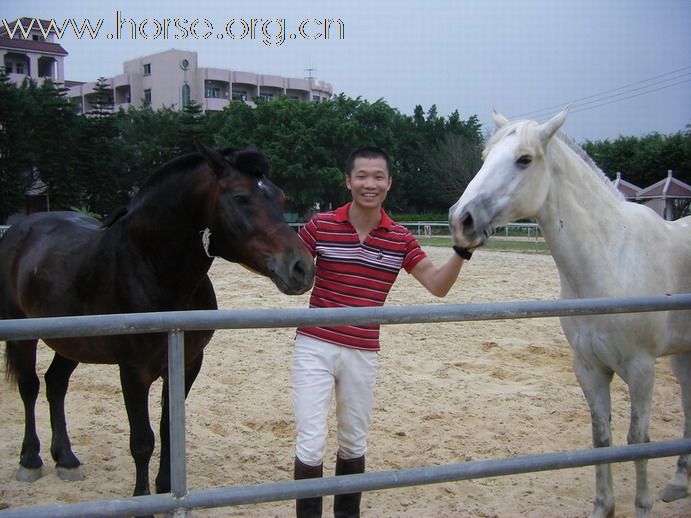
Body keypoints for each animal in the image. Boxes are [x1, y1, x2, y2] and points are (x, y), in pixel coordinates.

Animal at [0, 142, 314, 508]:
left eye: (280, 197)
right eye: (240, 197)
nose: (301, 268)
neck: (152, 267)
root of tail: (21, 230)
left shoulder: (187, 363)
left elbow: (168, 429)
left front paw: (166, 488)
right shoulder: (133, 371)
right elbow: (142, 440)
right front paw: (143, 500)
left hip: (73, 342)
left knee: (56, 384)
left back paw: (65, 459)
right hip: (24, 336)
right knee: (30, 387)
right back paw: (30, 460)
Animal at [448, 107, 691, 516]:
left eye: (524, 159)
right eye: (485, 157)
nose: (460, 220)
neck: (612, 258)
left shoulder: (642, 369)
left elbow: (639, 439)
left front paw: (642, 506)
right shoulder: (589, 367)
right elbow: (602, 436)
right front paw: (603, 506)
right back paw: (678, 482)